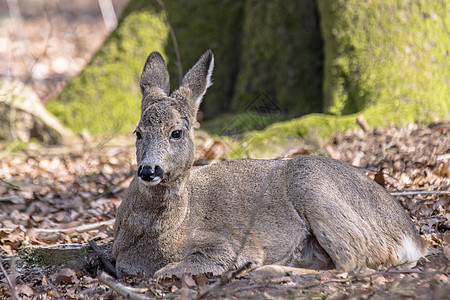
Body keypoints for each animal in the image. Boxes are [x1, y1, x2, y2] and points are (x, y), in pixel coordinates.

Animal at [111, 49, 426, 278]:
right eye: (138, 132)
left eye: (176, 132)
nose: (149, 169)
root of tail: (413, 238)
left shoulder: (229, 244)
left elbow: (167, 271)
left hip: (314, 188)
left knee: (352, 264)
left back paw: (266, 269)